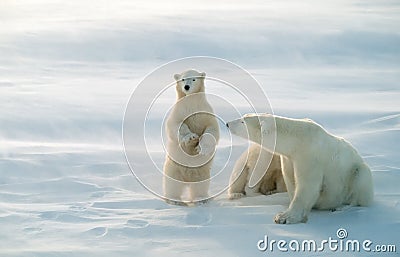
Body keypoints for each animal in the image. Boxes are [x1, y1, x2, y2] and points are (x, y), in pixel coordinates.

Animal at [162, 68, 219, 204]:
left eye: (194, 79)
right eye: (183, 79)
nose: (186, 87)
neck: (192, 103)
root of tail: (187, 179)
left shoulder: (205, 112)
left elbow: (212, 130)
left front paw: (200, 148)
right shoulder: (179, 111)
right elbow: (176, 125)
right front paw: (191, 138)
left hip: (202, 172)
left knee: (200, 186)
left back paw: (201, 199)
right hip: (173, 168)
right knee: (172, 184)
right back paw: (174, 200)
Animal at [227, 113, 374, 223]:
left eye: (243, 121)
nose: (227, 123)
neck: (298, 139)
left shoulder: (309, 155)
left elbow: (307, 186)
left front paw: (284, 217)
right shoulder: (289, 158)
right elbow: (290, 179)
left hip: (356, 171)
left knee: (361, 182)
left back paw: (342, 207)